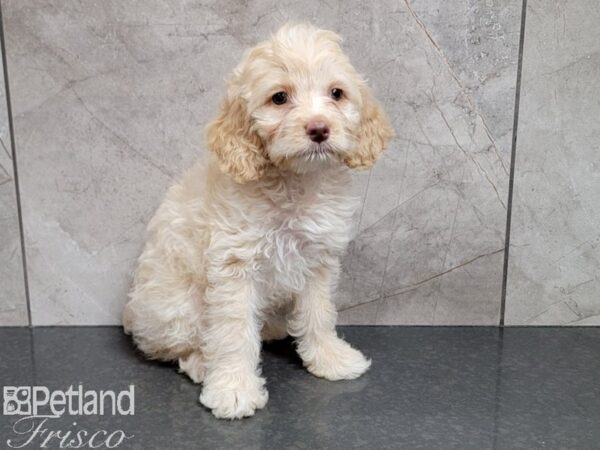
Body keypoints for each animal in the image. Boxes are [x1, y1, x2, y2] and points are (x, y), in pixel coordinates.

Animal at [122, 23, 394, 418]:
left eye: (336, 93)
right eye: (279, 98)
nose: (319, 129)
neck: (294, 182)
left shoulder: (318, 261)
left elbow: (319, 313)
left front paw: (329, 359)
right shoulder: (235, 266)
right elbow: (233, 333)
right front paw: (233, 389)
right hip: (175, 308)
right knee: (180, 346)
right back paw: (203, 364)